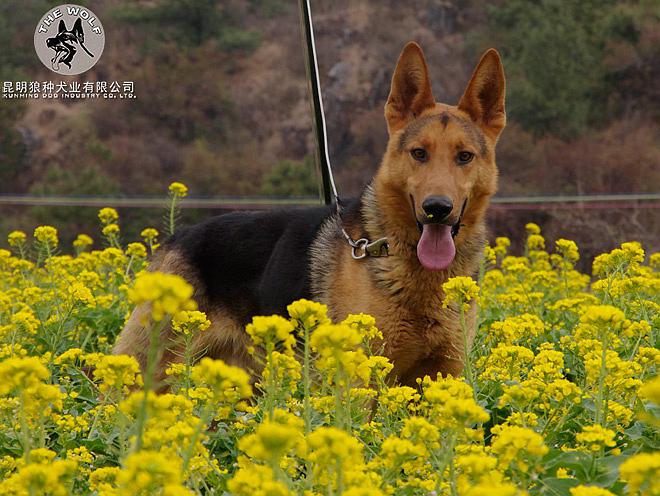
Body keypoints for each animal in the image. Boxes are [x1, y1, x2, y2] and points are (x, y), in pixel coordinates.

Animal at [113, 42, 506, 388]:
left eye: (464, 156)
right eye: (419, 153)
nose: (437, 209)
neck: (412, 269)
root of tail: (176, 237)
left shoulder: (442, 377)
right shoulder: (357, 385)